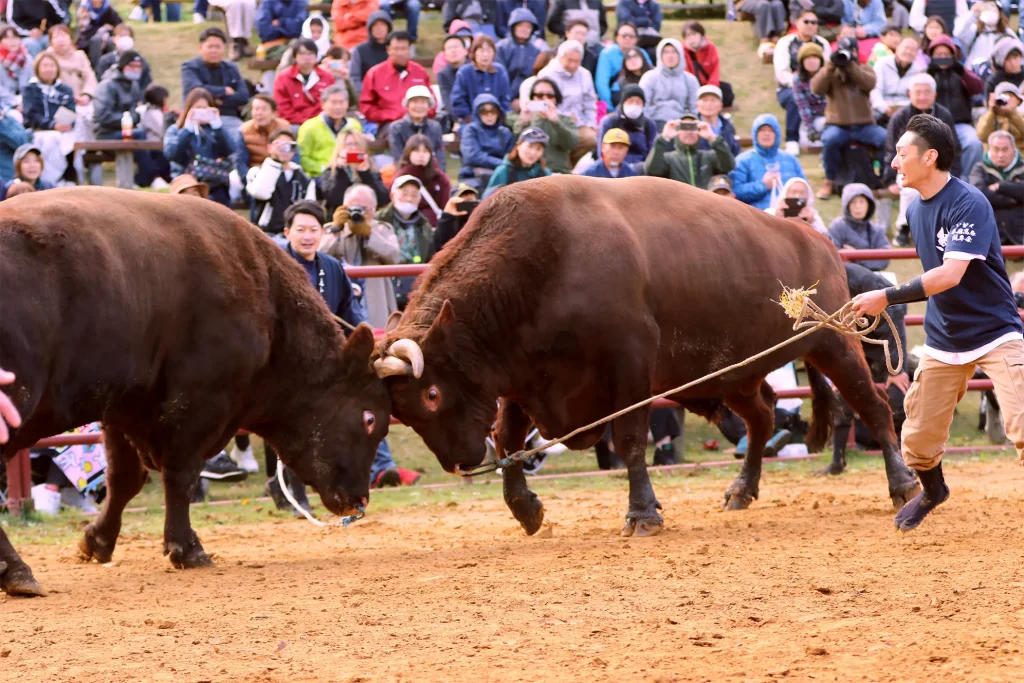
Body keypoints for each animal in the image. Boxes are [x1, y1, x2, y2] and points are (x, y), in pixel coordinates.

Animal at [0, 188, 389, 598]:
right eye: (370, 419)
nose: (360, 499)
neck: (266, 300)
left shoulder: (123, 406)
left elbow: (124, 480)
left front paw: (97, 541)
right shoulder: (198, 406)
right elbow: (181, 476)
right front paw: (187, 548)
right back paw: (17, 571)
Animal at [374, 176, 921, 540]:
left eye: (431, 392)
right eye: (400, 411)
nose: (461, 461)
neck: (543, 262)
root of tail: (819, 242)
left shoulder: (629, 367)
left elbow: (631, 440)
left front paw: (643, 515)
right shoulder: (522, 382)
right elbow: (509, 439)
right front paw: (526, 509)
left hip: (834, 347)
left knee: (872, 406)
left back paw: (903, 484)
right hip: (734, 377)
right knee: (762, 418)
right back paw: (740, 491)